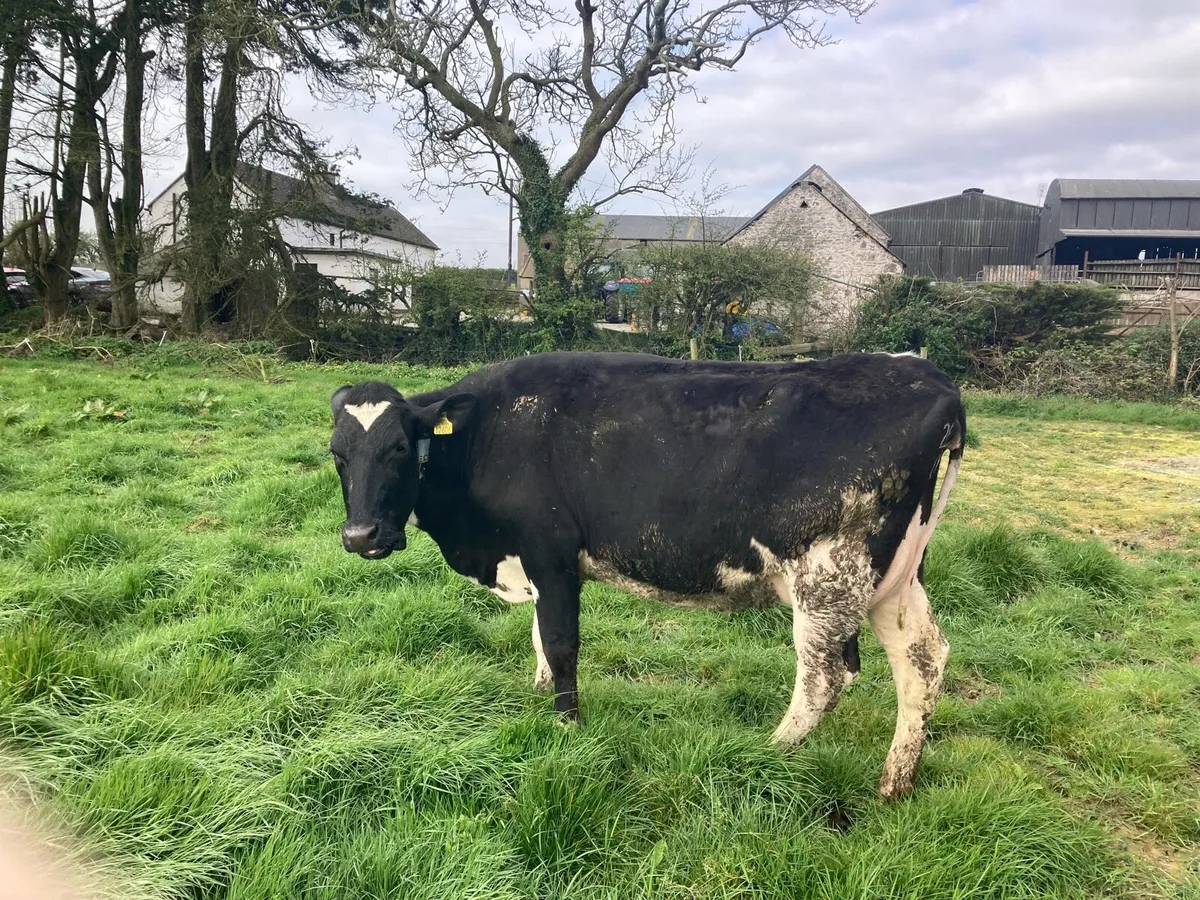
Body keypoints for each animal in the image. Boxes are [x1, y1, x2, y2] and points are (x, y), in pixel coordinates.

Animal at [328, 351, 965, 799]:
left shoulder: (550, 554)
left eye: (397, 449)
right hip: (892, 579)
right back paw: (894, 782)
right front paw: (537, 692)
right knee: (923, 661)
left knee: (825, 677)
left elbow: (559, 642)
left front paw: (566, 727)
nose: (360, 536)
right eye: (337, 453)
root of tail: (929, 377)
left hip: (828, 576)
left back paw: (771, 752)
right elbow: (538, 635)